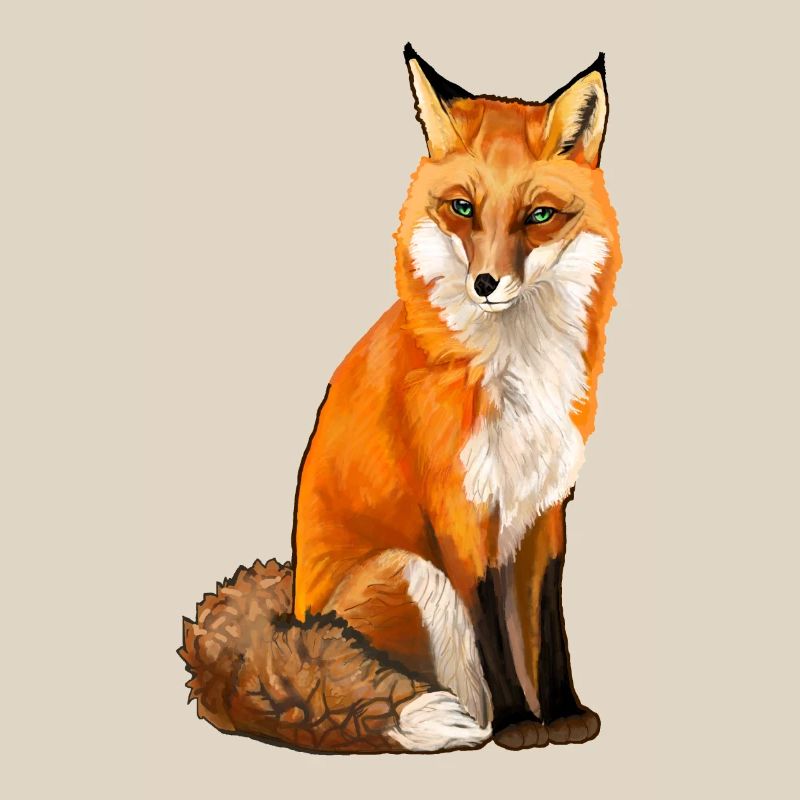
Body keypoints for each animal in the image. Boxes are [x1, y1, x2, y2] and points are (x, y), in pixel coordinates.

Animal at [181, 45, 621, 755]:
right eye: (463, 208)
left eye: (539, 216)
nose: (486, 283)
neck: (516, 371)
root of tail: (290, 617)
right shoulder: (458, 511)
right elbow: (494, 634)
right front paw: (521, 724)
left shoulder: (545, 507)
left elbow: (548, 626)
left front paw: (563, 712)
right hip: (411, 570)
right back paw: (472, 722)